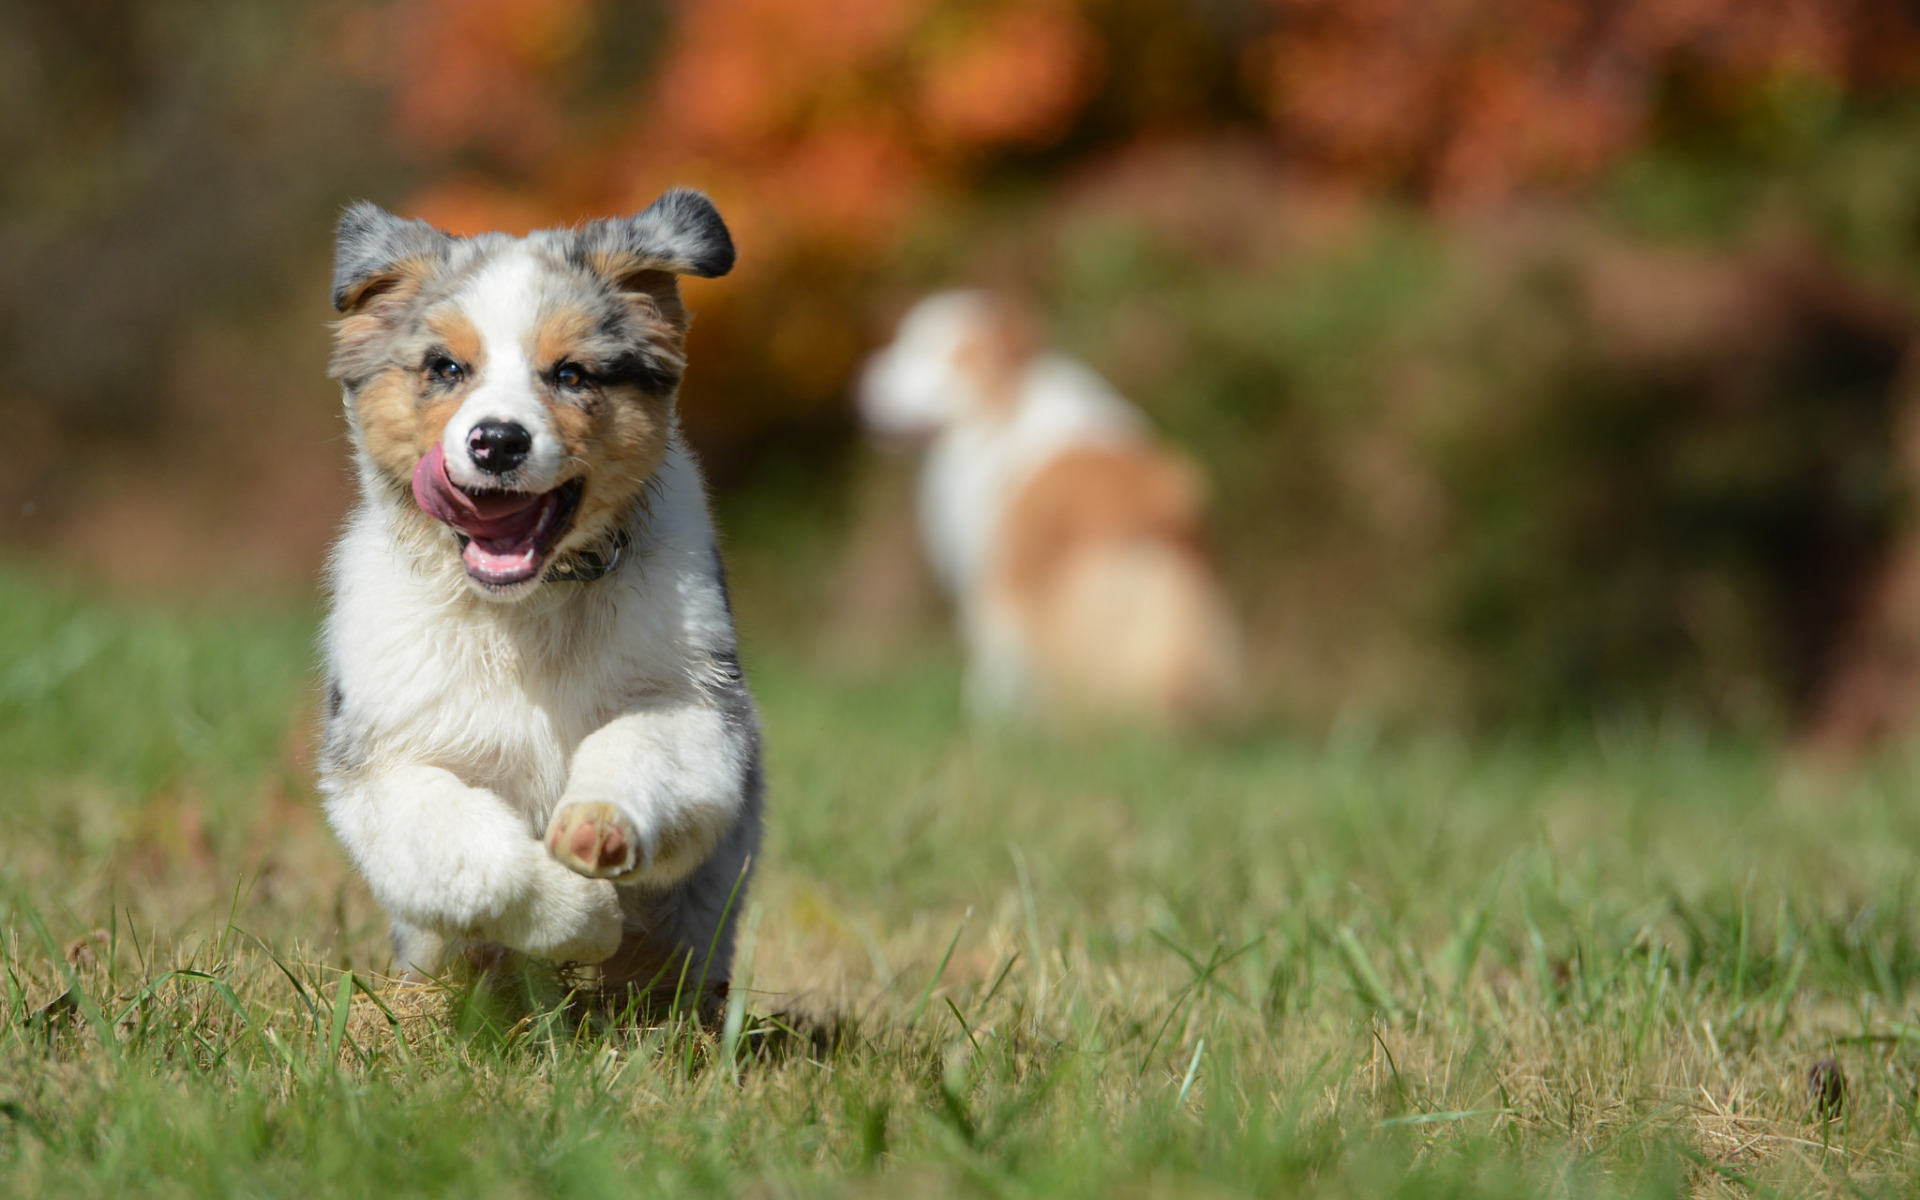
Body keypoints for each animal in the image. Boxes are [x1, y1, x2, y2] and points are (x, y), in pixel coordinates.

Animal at [318, 185, 760, 990]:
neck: (527, 611)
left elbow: (635, 744)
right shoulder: (380, 769)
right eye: (445, 367)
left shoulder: (700, 710)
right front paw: (582, 917)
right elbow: (474, 855)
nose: (497, 441)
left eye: (572, 375)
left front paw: (598, 828)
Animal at [856, 291, 1244, 725]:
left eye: (924, 353)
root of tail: (1139, 514)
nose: (862, 383)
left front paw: (990, 723)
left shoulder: (994, 579)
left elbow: (991, 675)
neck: (1006, 410)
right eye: (905, 343)